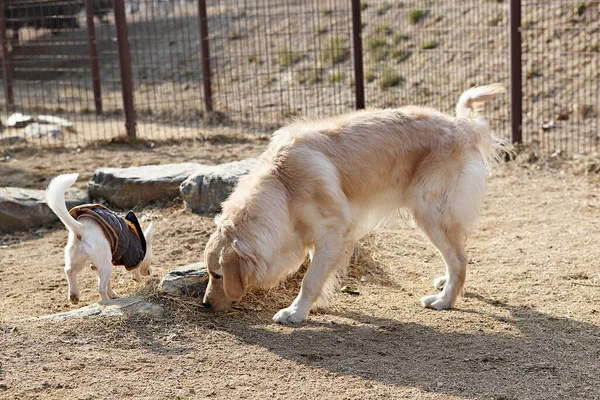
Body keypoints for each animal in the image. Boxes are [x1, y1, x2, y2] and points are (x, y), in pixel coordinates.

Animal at [46, 173, 154, 304]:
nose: (149, 272)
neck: (138, 236)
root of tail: (82, 228)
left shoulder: (96, 267)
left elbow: (108, 283)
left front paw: (113, 294)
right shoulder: (133, 258)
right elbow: (135, 273)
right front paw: (140, 280)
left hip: (77, 258)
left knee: (69, 271)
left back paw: (74, 295)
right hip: (105, 264)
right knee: (101, 289)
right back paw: (106, 301)